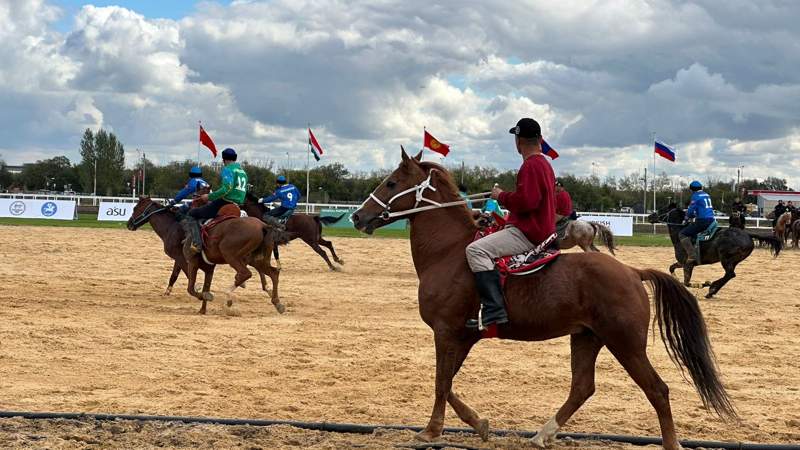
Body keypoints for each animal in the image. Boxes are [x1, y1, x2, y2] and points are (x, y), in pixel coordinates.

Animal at [130, 199, 292, 314]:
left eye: (135, 208)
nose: (129, 223)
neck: (172, 227)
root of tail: (263, 226)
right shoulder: (190, 261)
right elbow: (176, 276)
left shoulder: (185, 259)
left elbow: (190, 281)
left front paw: (200, 292)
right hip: (255, 258)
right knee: (272, 272)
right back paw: (276, 301)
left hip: (232, 255)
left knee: (246, 273)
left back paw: (230, 295)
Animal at [354, 150, 736, 450]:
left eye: (391, 183)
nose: (358, 216)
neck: (448, 252)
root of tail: (631, 271)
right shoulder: (461, 337)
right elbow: (446, 383)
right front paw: (479, 424)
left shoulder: (447, 332)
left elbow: (440, 382)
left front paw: (432, 430)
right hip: (587, 338)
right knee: (583, 387)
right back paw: (543, 434)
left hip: (625, 343)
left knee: (657, 390)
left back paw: (670, 443)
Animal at [644, 204, 780, 298]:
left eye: (662, 209)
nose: (649, 216)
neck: (680, 233)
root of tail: (747, 234)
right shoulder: (682, 263)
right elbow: (671, 268)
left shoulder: (688, 264)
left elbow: (686, 282)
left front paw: (705, 284)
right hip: (733, 261)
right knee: (729, 275)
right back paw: (713, 290)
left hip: (726, 259)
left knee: (730, 274)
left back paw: (712, 288)